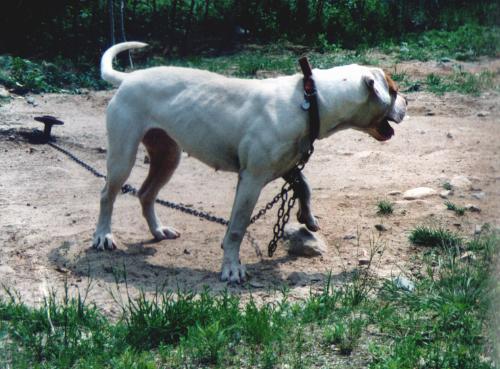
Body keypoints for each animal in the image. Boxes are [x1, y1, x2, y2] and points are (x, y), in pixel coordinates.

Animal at [94, 42, 406, 282]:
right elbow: (237, 228)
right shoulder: (251, 180)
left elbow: (304, 186)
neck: (310, 99)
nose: (407, 103)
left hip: (167, 157)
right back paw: (103, 236)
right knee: (107, 194)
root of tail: (128, 79)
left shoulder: (288, 165)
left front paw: (307, 216)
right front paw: (232, 269)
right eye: (392, 90)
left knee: (146, 193)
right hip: (123, 156)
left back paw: (158, 231)